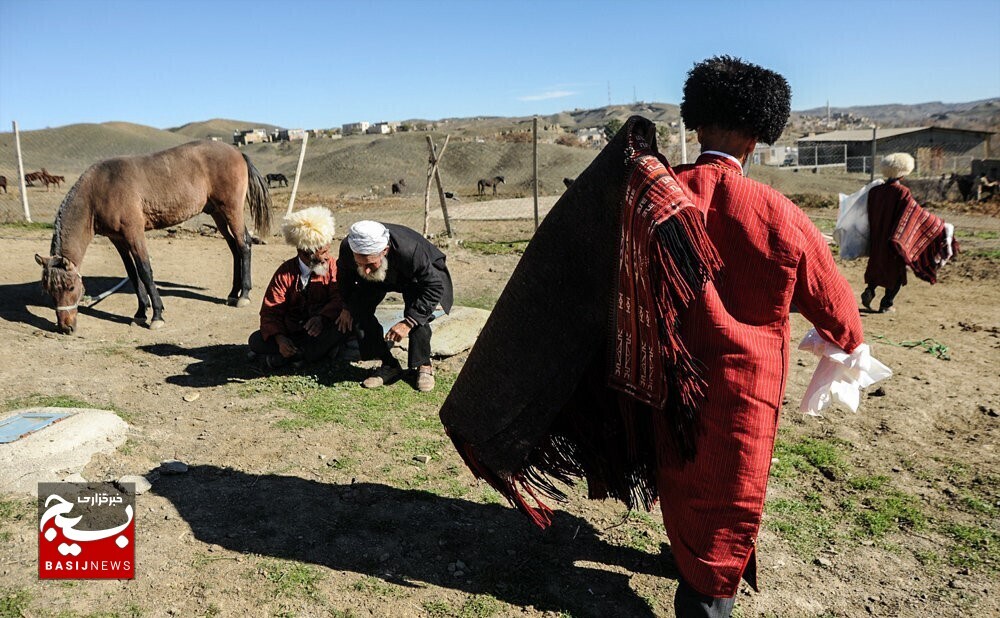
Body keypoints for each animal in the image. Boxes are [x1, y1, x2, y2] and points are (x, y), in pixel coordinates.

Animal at [35, 141, 272, 332]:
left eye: (71, 287)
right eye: (48, 290)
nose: (65, 327)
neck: (100, 190)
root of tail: (237, 152)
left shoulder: (134, 233)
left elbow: (145, 271)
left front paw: (157, 315)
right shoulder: (118, 239)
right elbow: (132, 274)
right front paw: (140, 313)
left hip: (231, 210)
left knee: (244, 245)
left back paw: (243, 296)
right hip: (217, 214)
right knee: (234, 248)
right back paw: (233, 293)